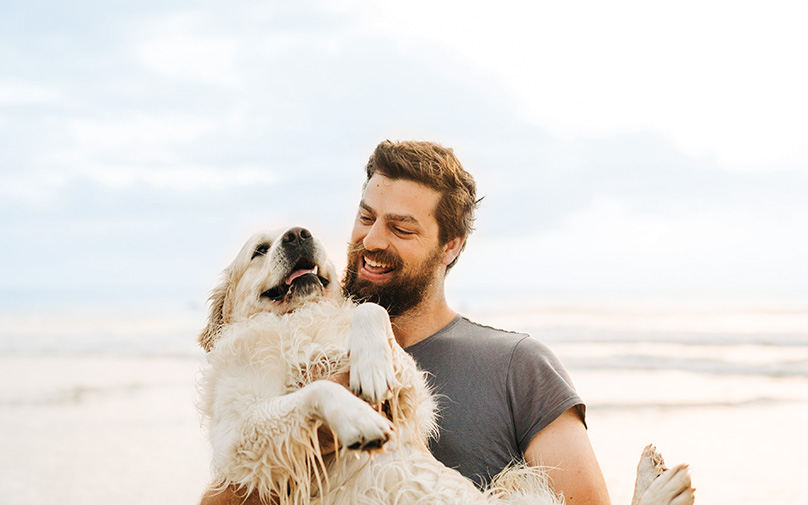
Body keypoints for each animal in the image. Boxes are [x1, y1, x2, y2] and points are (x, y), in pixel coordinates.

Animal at [196, 228, 696, 504]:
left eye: (302, 232)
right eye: (259, 250)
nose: (298, 234)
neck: (296, 321)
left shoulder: (411, 395)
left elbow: (370, 312)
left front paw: (370, 365)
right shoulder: (242, 440)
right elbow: (316, 390)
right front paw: (357, 417)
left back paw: (657, 480)